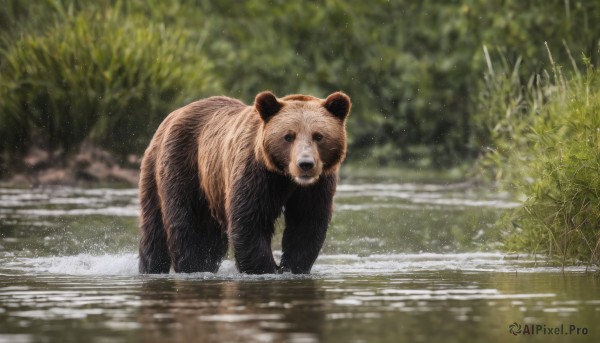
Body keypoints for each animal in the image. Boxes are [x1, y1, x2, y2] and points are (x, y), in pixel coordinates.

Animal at [138, 90, 350, 274]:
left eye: (318, 136)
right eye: (288, 136)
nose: (305, 164)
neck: (285, 177)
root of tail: (174, 114)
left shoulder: (316, 187)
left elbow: (306, 223)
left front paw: (291, 267)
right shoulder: (256, 174)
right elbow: (250, 221)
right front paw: (265, 269)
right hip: (180, 165)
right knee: (176, 223)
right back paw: (181, 266)